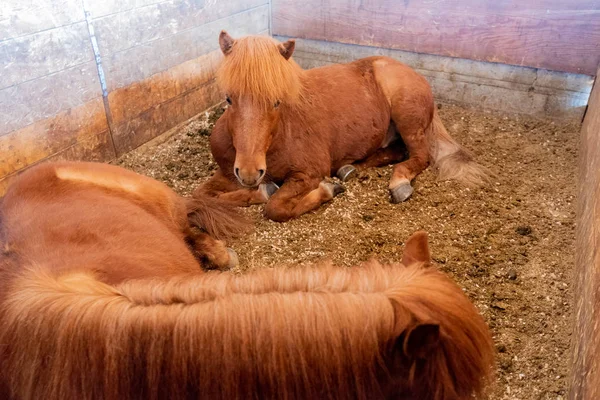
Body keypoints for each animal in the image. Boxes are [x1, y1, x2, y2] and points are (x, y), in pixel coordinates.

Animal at [195, 32, 490, 222]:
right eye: (228, 98)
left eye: (277, 101)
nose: (248, 173)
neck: (278, 135)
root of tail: (413, 74)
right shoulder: (227, 174)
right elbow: (202, 196)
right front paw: (257, 190)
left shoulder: (308, 174)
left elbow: (275, 207)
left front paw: (326, 190)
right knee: (394, 152)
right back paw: (349, 169)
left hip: (407, 120)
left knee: (419, 156)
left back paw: (398, 183)